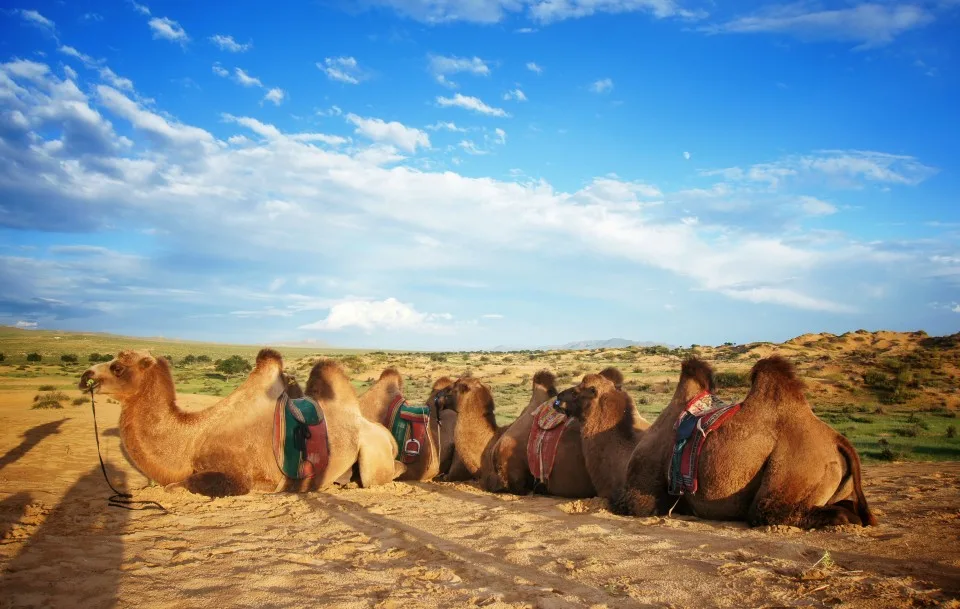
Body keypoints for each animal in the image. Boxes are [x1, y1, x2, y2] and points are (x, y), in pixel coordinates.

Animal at [78, 349, 403, 497]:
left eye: (117, 367)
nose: (86, 376)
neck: (190, 441)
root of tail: (384, 433)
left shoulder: (246, 478)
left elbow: (179, 486)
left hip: (373, 456)